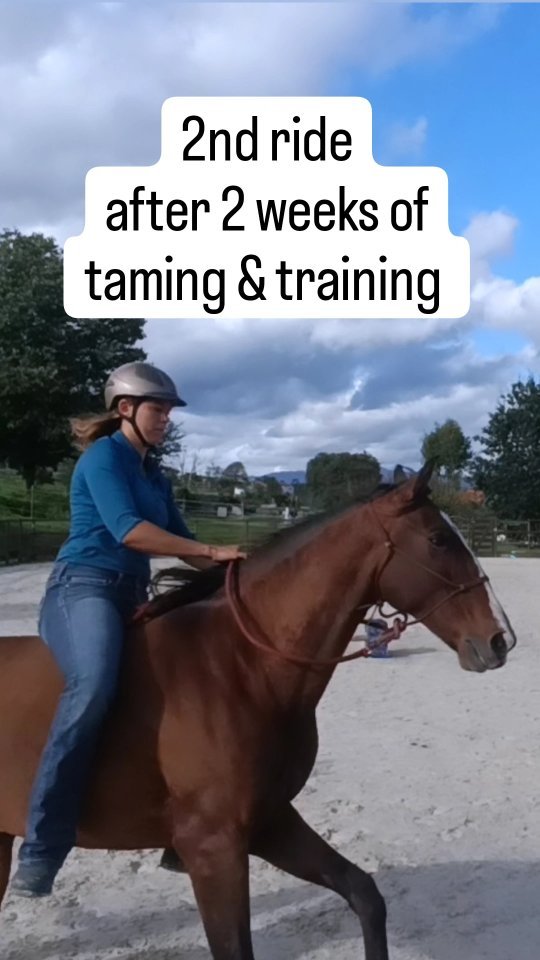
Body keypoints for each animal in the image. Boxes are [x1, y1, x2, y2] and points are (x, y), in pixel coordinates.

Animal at [0, 462, 516, 960]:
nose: (500, 640)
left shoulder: (269, 822)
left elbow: (365, 894)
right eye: (438, 539)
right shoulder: (214, 848)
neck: (241, 667)